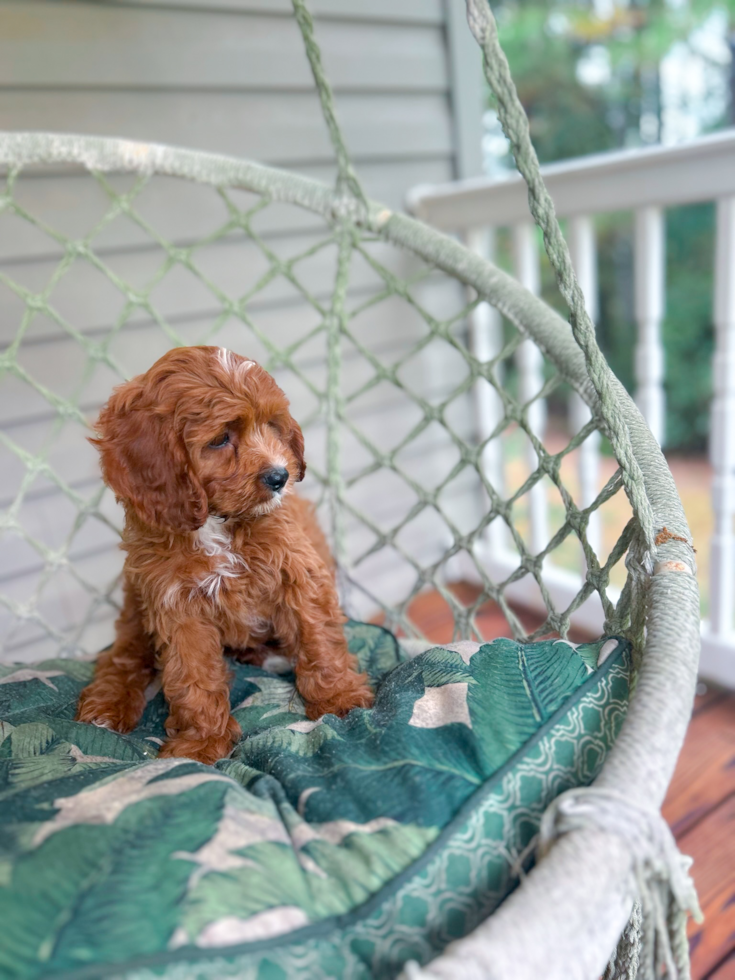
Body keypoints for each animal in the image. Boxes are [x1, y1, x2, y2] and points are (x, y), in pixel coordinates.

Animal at [76, 346, 374, 764]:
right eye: (220, 439)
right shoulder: (177, 605)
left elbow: (318, 638)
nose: (280, 477)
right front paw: (201, 742)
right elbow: (194, 676)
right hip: (136, 605)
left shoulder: (298, 574)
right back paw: (108, 703)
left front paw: (339, 698)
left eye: (271, 425)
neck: (217, 524)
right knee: (122, 656)